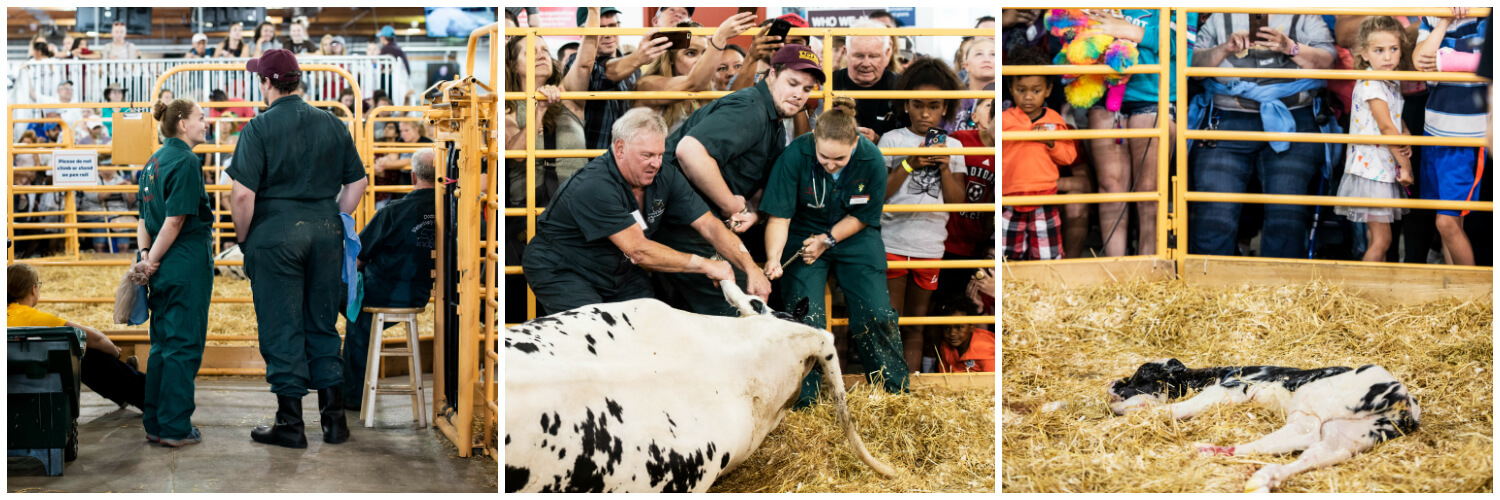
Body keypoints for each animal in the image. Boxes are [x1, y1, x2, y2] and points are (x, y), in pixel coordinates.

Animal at [1116, 358, 1416, 489]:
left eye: (1141, 373)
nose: (1114, 384)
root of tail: (1407, 405)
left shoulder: (1230, 389)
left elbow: (1180, 407)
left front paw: (1136, 412)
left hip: (1318, 403)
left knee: (1304, 436)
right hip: (1348, 433)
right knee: (1311, 451)